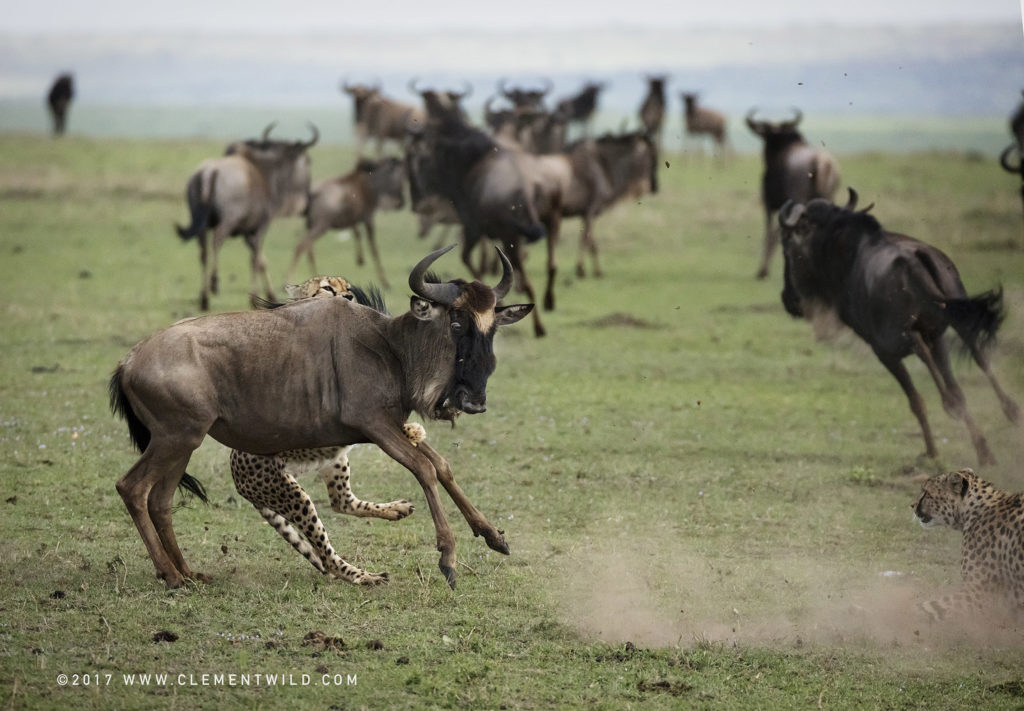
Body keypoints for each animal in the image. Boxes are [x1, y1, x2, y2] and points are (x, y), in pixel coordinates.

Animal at [232, 276, 419, 586]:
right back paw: (362, 576)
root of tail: (236, 479)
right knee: (327, 552)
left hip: (335, 463)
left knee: (342, 502)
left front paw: (411, 430)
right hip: (291, 494)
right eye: (327, 288)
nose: (350, 298)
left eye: (348, 289)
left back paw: (394, 509)